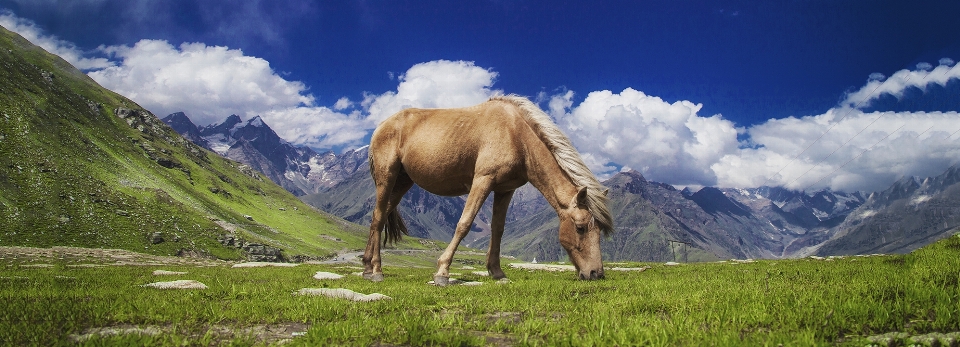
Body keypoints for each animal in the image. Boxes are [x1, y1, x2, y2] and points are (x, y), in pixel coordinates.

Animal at [364, 95, 612, 286]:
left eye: (600, 230)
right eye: (580, 228)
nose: (595, 274)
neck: (515, 135)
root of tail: (382, 125)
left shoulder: (505, 189)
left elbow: (498, 229)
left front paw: (497, 272)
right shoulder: (483, 180)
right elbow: (464, 223)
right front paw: (442, 272)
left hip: (402, 183)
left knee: (380, 216)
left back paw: (367, 266)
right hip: (387, 177)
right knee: (378, 217)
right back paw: (376, 270)